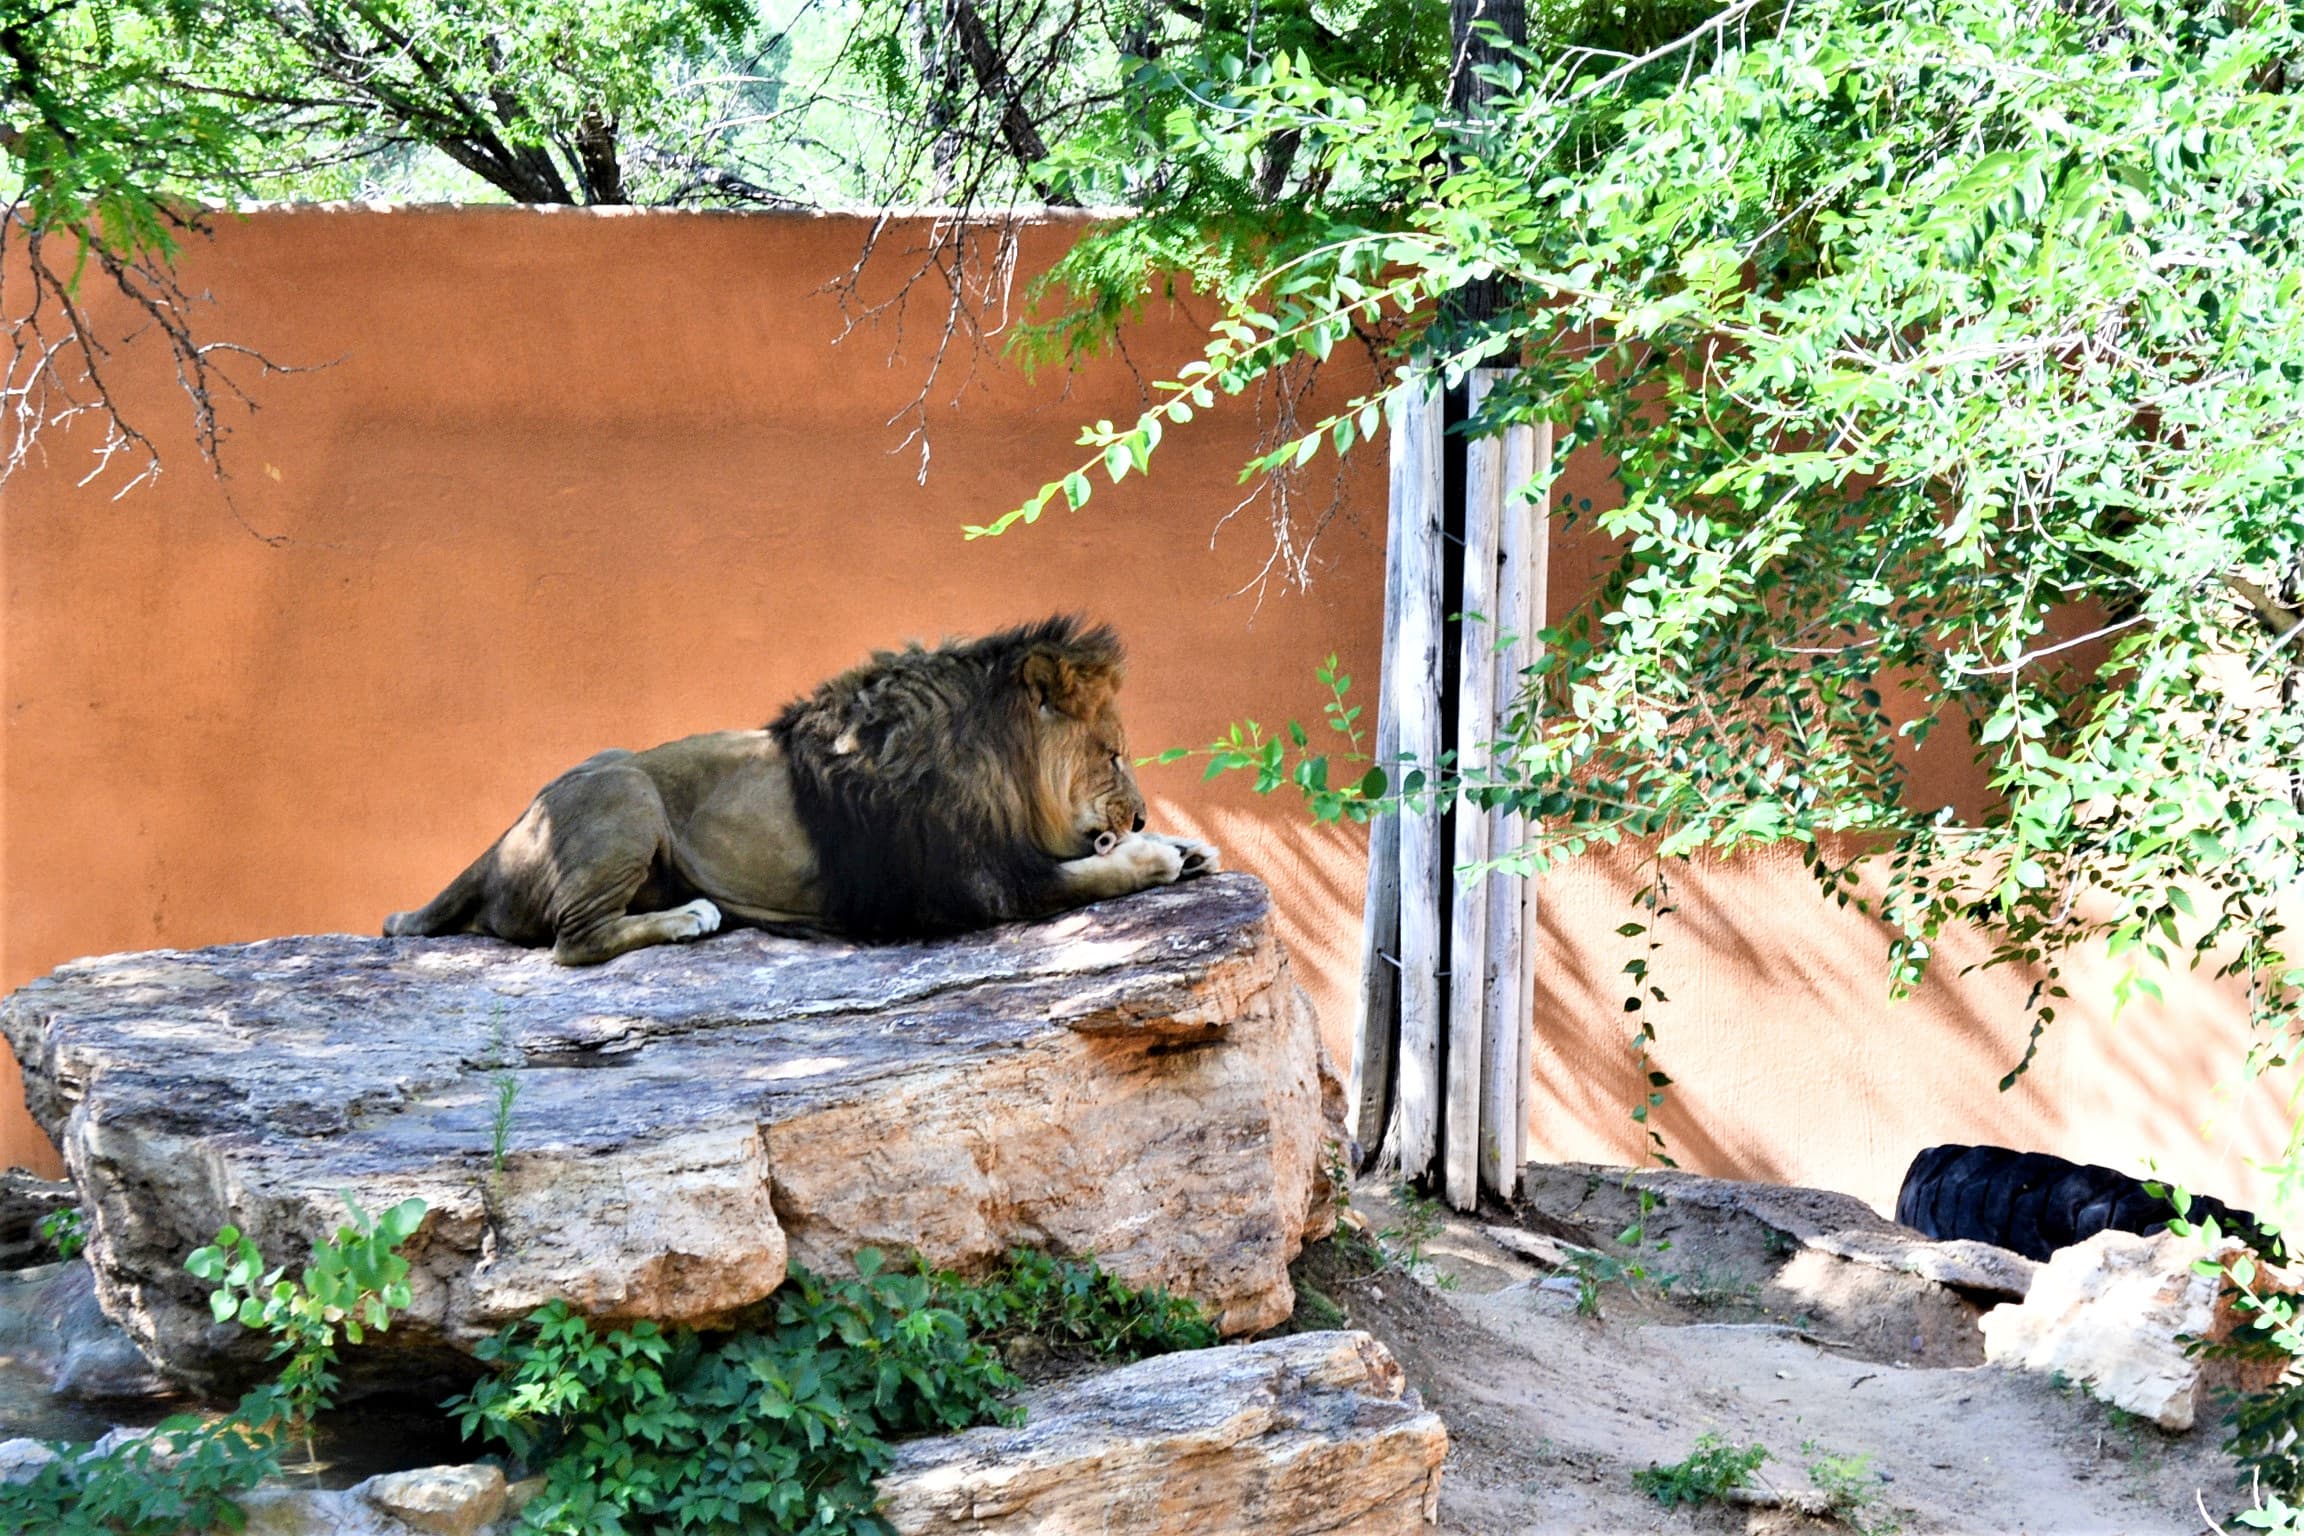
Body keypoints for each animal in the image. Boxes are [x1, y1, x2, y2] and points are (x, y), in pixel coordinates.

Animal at [383, 617, 1219, 964]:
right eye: (1114, 755)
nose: (1140, 814)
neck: (996, 764)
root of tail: (497, 843)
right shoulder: (967, 885)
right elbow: (1086, 877)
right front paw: (1151, 858)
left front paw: (1186, 844)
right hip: (625, 792)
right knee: (573, 942)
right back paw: (689, 917)